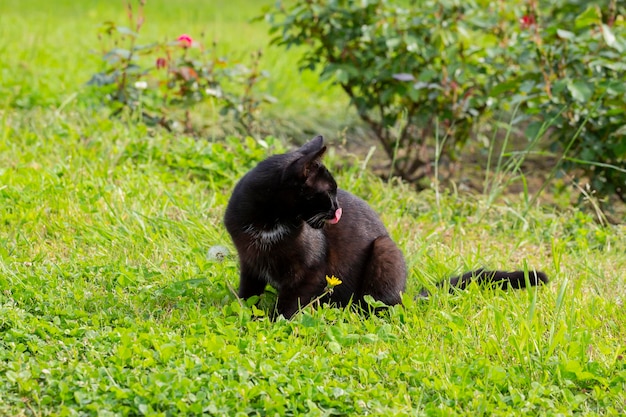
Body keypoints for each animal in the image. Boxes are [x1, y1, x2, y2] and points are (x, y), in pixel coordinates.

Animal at [222, 135, 544, 316]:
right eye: (328, 193)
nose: (338, 208)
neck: (270, 222)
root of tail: (405, 293)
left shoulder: (311, 269)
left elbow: (291, 300)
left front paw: (275, 320)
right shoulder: (250, 261)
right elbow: (248, 291)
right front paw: (241, 309)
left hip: (384, 250)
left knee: (381, 306)